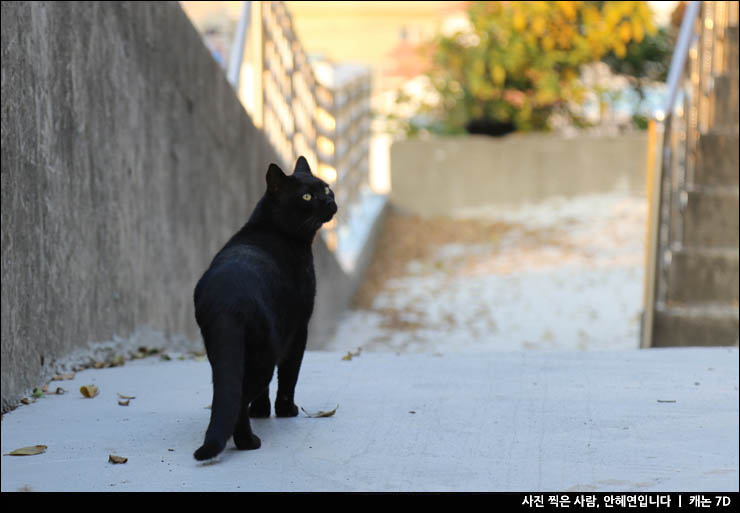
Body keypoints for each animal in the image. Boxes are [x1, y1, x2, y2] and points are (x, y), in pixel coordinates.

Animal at [194, 156, 338, 460]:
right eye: (307, 197)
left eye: (326, 189)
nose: (330, 201)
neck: (271, 228)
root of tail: (226, 299)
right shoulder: (299, 328)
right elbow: (290, 374)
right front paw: (285, 411)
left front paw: (261, 411)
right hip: (265, 352)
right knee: (241, 397)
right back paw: (248, 442)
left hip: (225, 351)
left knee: (229, 390)